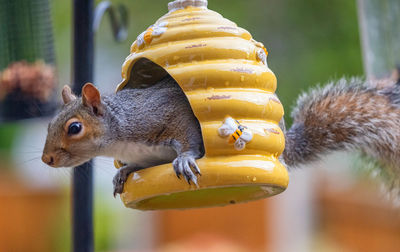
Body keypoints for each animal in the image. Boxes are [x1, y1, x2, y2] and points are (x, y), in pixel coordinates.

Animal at [41, 72, 400, 196]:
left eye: (75, 128)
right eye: (48, 124)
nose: (47, 159)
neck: (122, 133)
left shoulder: (167, 116)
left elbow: (188, 139)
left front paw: (184, 160)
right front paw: (124, 172)